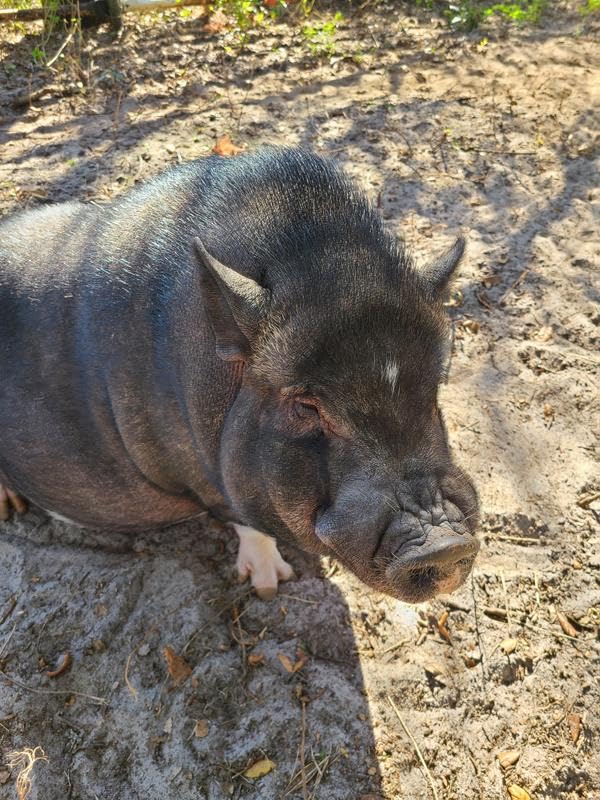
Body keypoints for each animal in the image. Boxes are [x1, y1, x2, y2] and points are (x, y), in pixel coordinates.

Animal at [0, 149, 479, 602]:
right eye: (306, 406)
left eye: (432, 390)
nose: (444, 545)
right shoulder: (205, 476)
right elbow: (249, 523)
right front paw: (271, 587)